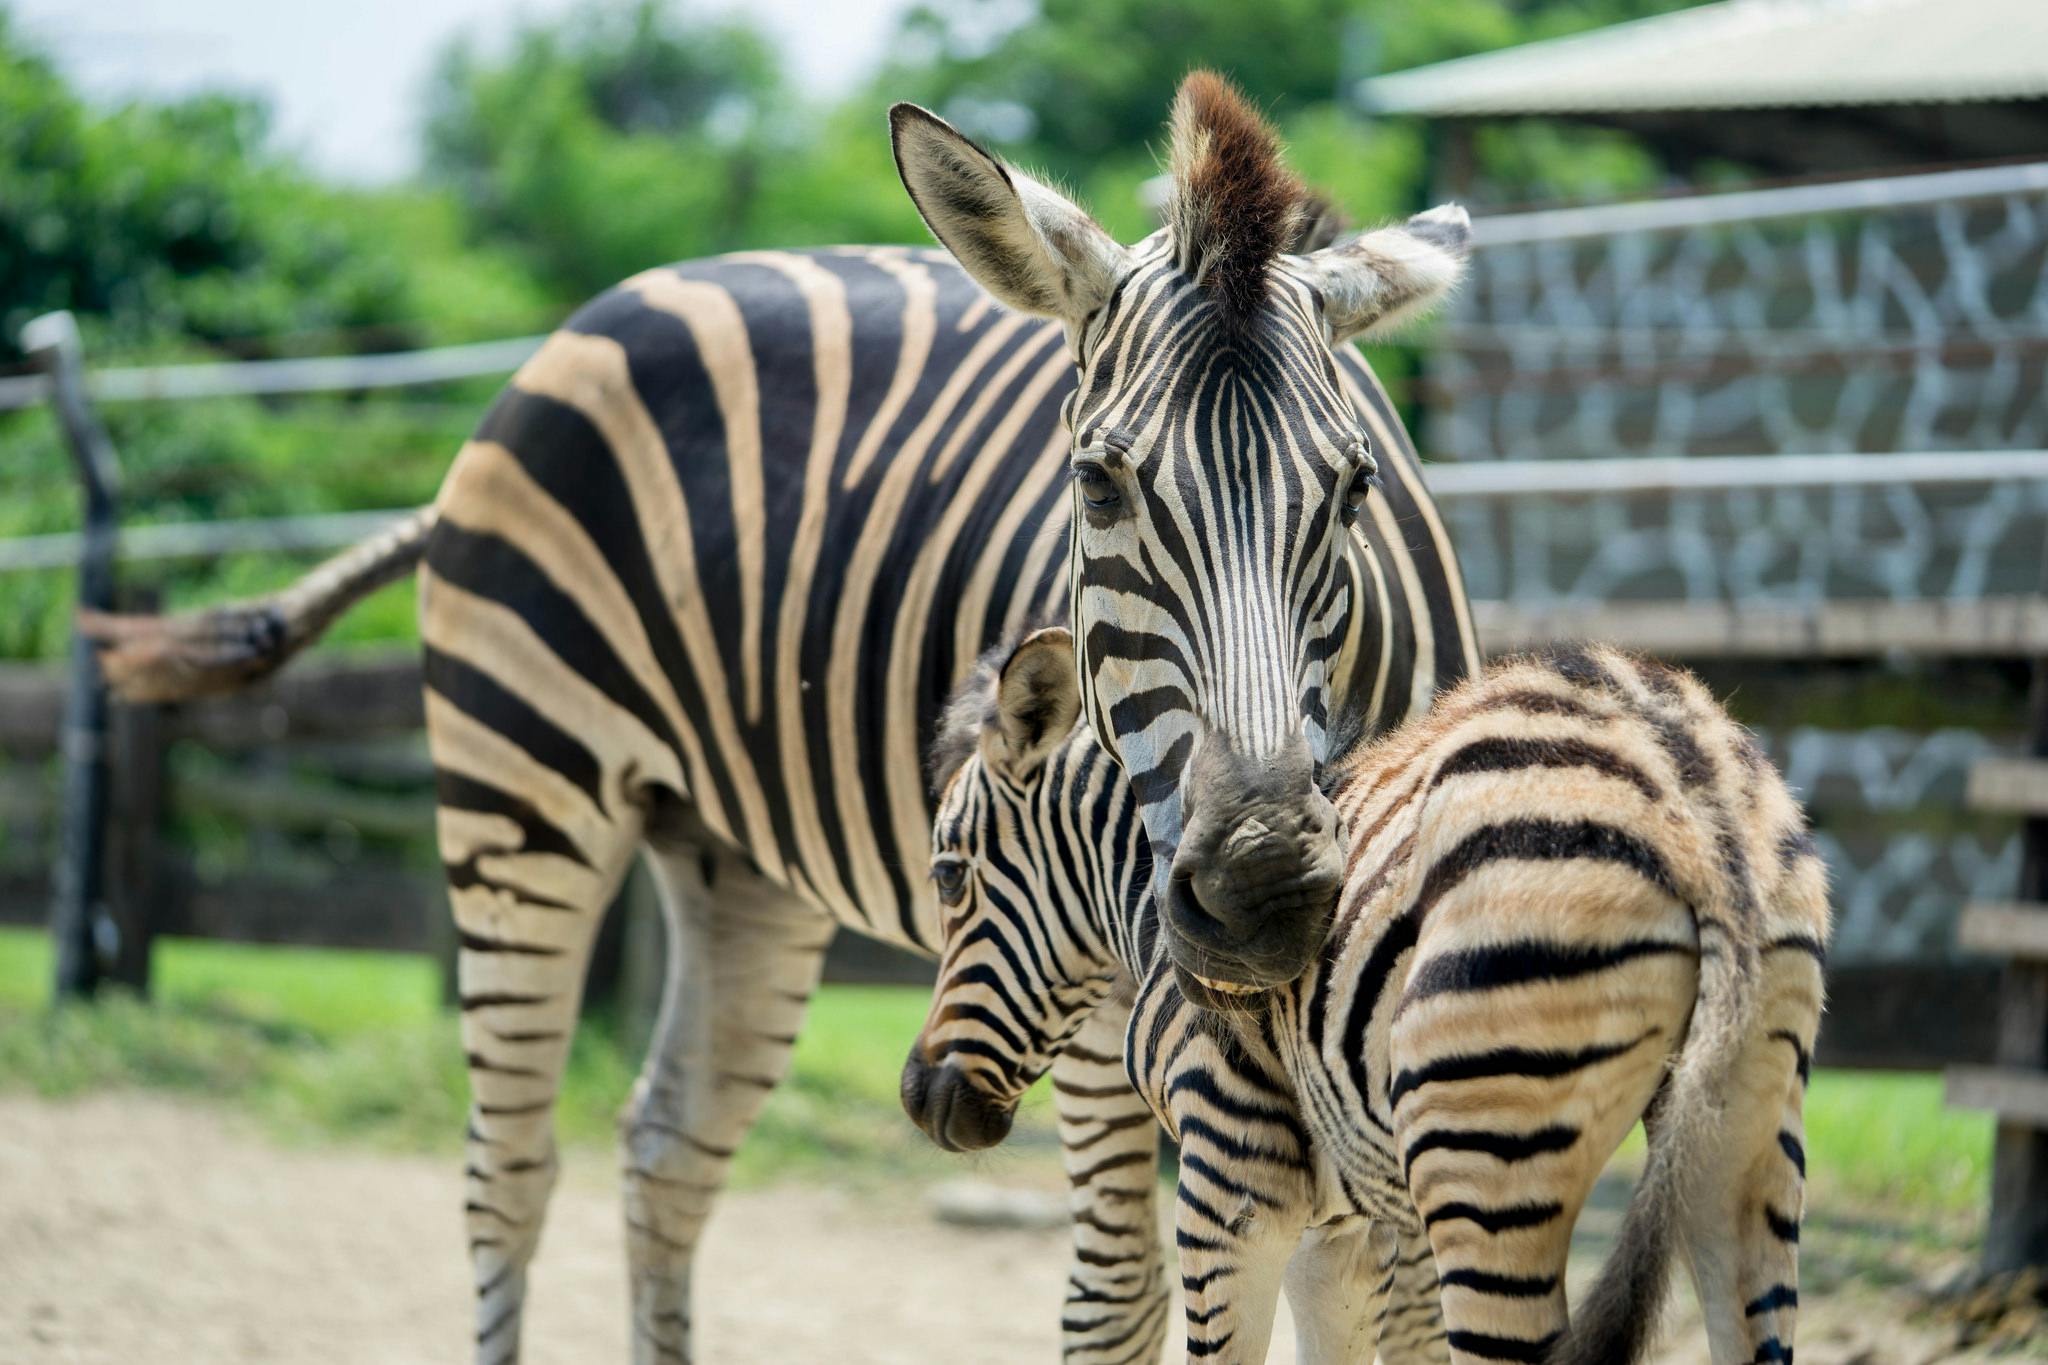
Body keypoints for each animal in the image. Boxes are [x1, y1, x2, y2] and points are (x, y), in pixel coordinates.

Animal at [82, 73, 1478, 1363]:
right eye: (1096, 483)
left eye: (1352, 488)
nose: (1260, 894)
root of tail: (586, 321)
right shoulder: (1074, 966)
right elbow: (1117, 1301)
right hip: (518, 793)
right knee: (507, 1173)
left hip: (732, 860)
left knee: (666, 1149)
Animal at [905, 632, 1830, 1365]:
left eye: (947, 875)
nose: (919, 1094)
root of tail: (1689, 786)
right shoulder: (1342, 1231)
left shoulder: (1228, 1181)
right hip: (1742, 1134)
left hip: (1484, 1159)